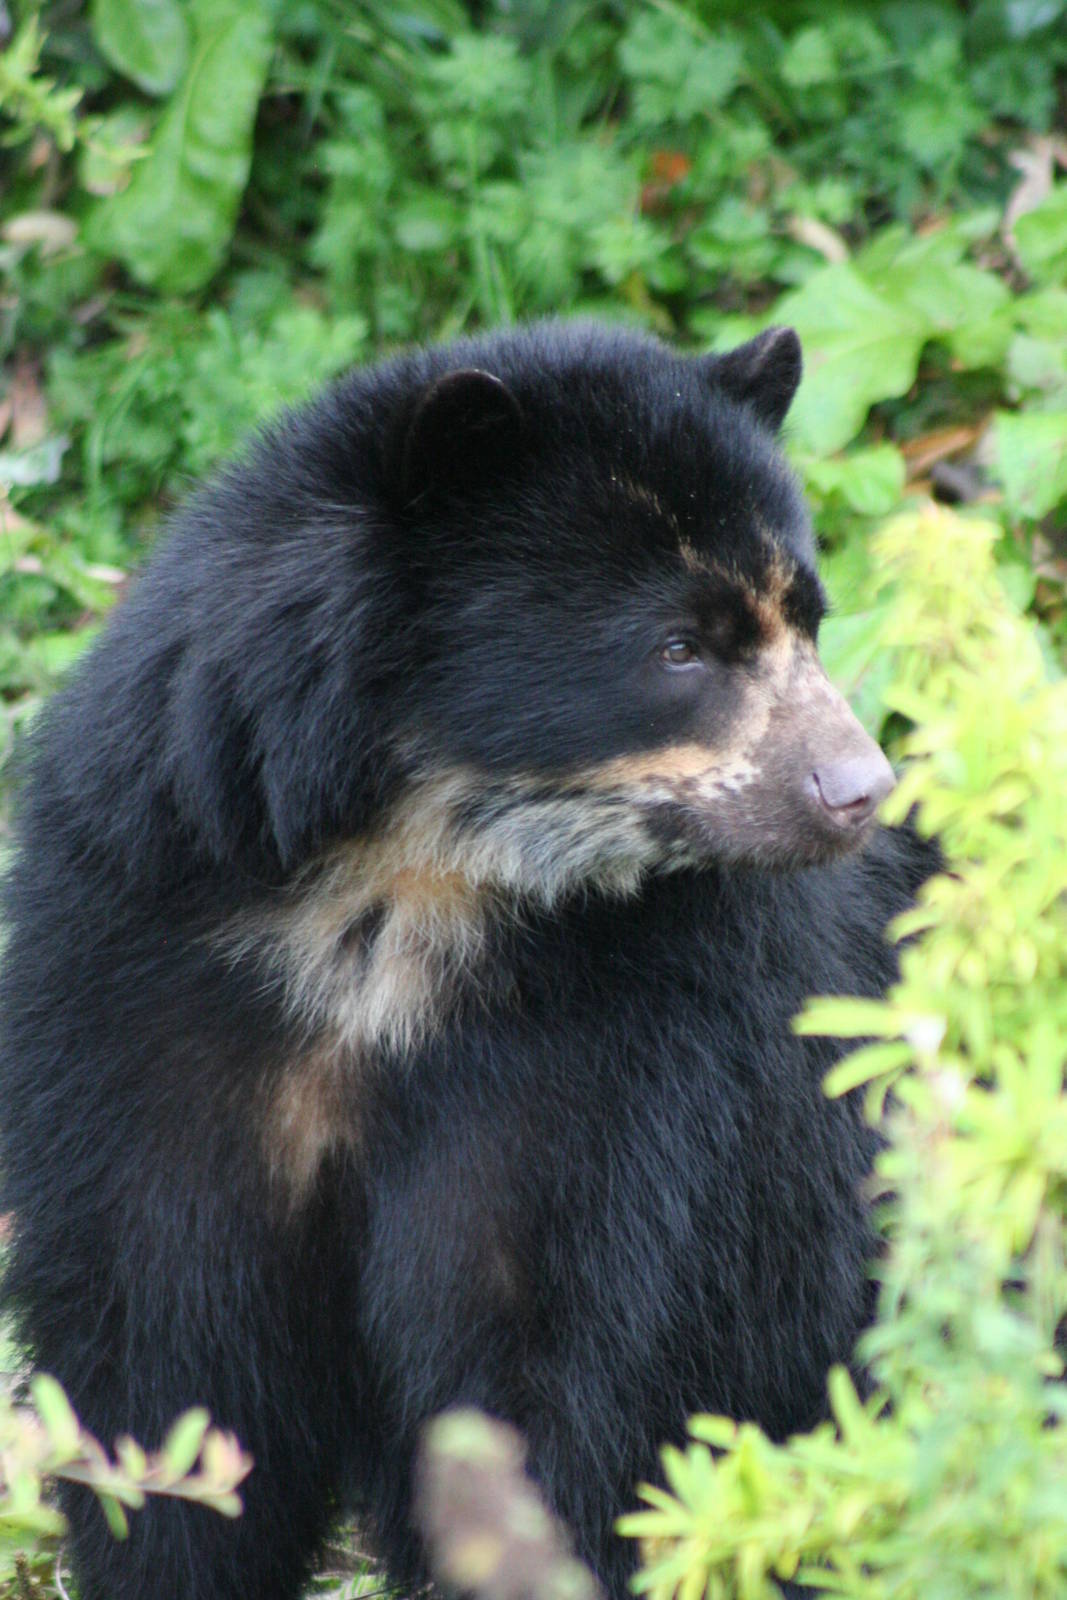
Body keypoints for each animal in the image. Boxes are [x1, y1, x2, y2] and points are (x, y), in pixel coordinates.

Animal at [0, 320, 934, 1600]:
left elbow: (553, 1359)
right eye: (678, 646)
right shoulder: (147, 970)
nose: (855, 790)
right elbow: (166, 1347)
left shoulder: (640, 1066)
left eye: (808, 616)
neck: (412, 885)